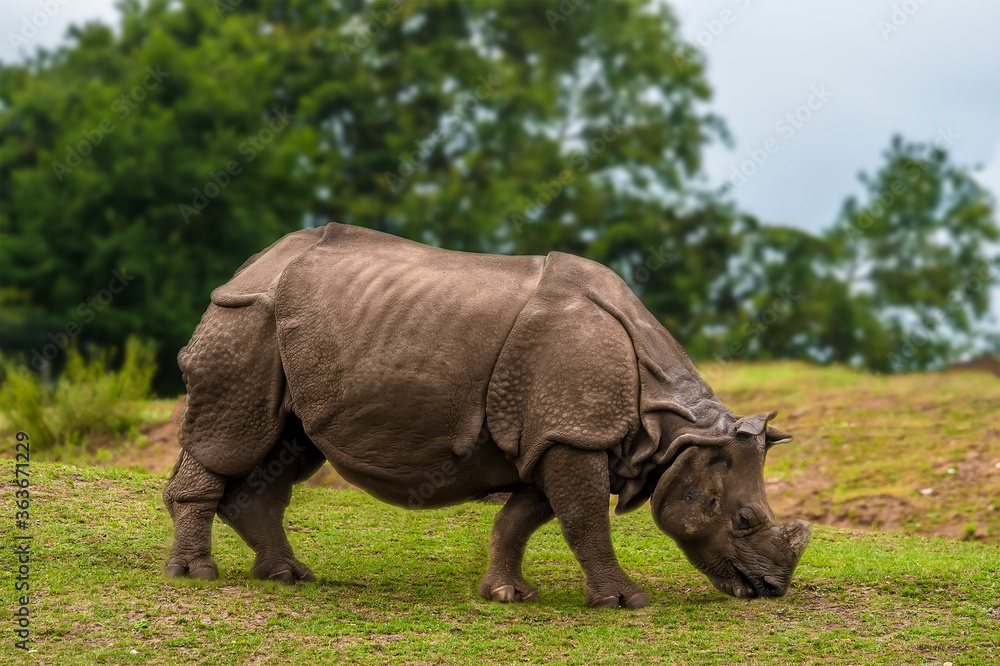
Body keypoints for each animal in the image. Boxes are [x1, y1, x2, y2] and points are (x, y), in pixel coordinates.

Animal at [163, 222, 810, 608]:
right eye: (744, 519)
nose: (771, 590)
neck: (677, 430)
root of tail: (250, 265)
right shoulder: (573, 433)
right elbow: (584, 521)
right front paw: (626, 602)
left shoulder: (553, 436)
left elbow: (523, 518)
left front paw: (507, 594)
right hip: (247, 316)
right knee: (233, 438)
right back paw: (197, 575)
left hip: (286, 328)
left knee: (286, 447)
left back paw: (287, 577)